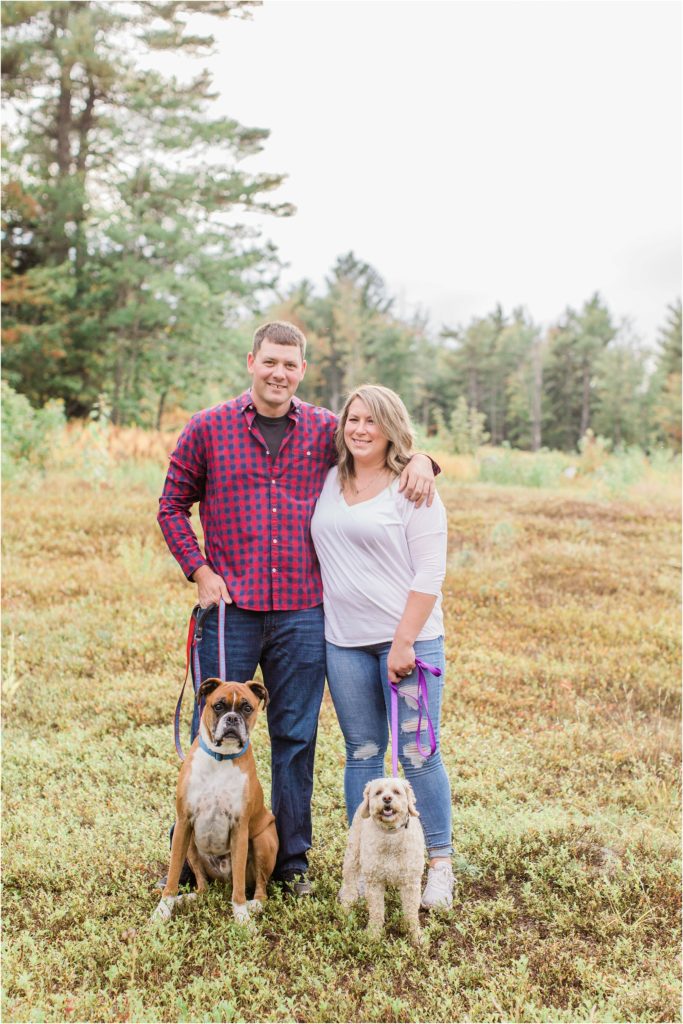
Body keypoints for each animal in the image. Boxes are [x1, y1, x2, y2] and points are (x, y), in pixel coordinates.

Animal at [151, 679, 278, 929]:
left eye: (247, 708)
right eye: (218, 705)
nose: (232, 719)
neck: (222, 757)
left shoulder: (239, 828)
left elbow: (239, 887)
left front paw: (242, 918)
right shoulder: (183, 823)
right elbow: (173, 875)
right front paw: (163, 910)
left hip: (263, 839)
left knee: (260, 889)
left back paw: (253, 905)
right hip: (190, 844)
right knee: (203, 887)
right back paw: (186, 899)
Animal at [339, 774, 423, 942]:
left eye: (397, 792)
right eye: (378, 793)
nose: (387, 798)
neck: (391, 836)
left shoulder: (411, 883)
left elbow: (411, 912)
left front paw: (415, 935)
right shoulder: (374, 881)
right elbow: (376, 910)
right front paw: (373, 934)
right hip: (353, 853)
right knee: (350, 881)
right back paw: (346, 905)